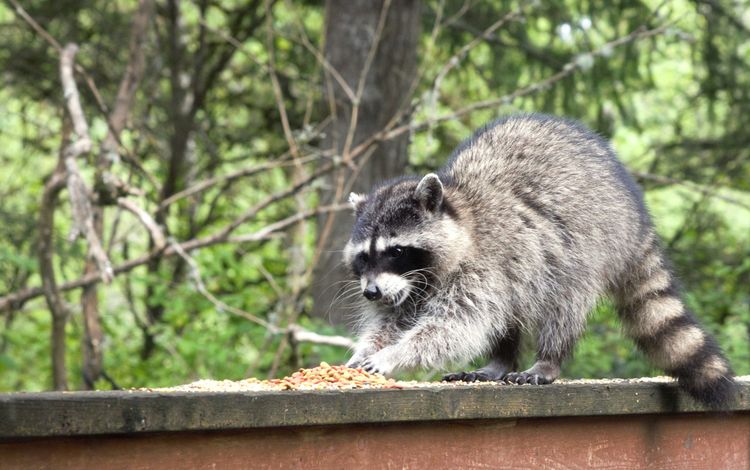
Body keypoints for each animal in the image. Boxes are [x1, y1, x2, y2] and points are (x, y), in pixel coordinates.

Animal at [342, 113, 735, 407]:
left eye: (396, 251)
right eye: (364, 257)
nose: (371, 293)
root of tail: (634, 211)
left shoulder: (481, 267)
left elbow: (453, 328)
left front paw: (394, 355)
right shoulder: (410, 285)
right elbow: (393, 320)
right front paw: (366, 349)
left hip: (587, 246)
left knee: (563, 305)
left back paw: (548, 359)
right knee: (508, 316)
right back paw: (500, 361)